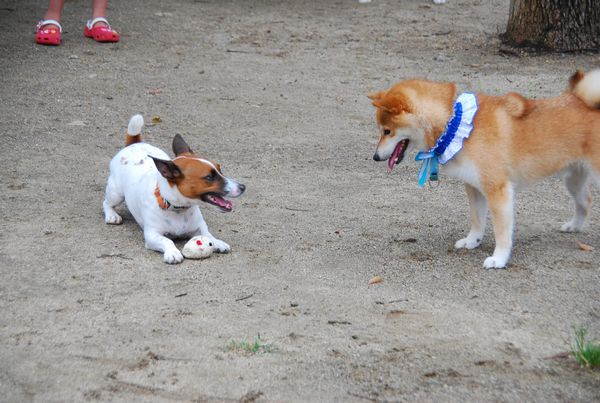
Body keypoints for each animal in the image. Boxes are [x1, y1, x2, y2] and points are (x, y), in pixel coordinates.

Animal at [104, 115, 245, 264]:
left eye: (220, 169)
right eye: (209, 177)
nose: (243, 187)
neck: (177, 208)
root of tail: (134, 144)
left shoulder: (200, 228)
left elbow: (208, 235)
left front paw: (217, 242)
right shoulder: (152, 235)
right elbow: (167, 241)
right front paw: (172, 252)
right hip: (116, 193)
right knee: (106, 203)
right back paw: (112, 215)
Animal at [370, 70, 600, 270]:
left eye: (387, 131)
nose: (375, 157)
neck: (452, 120)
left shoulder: (498, 191)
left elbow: (502, 232)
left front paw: (499, 259)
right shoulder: (474, 187)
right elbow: (477, 220)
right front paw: (473, 241)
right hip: (573, 179)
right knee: (586, 201)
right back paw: (574, 226)